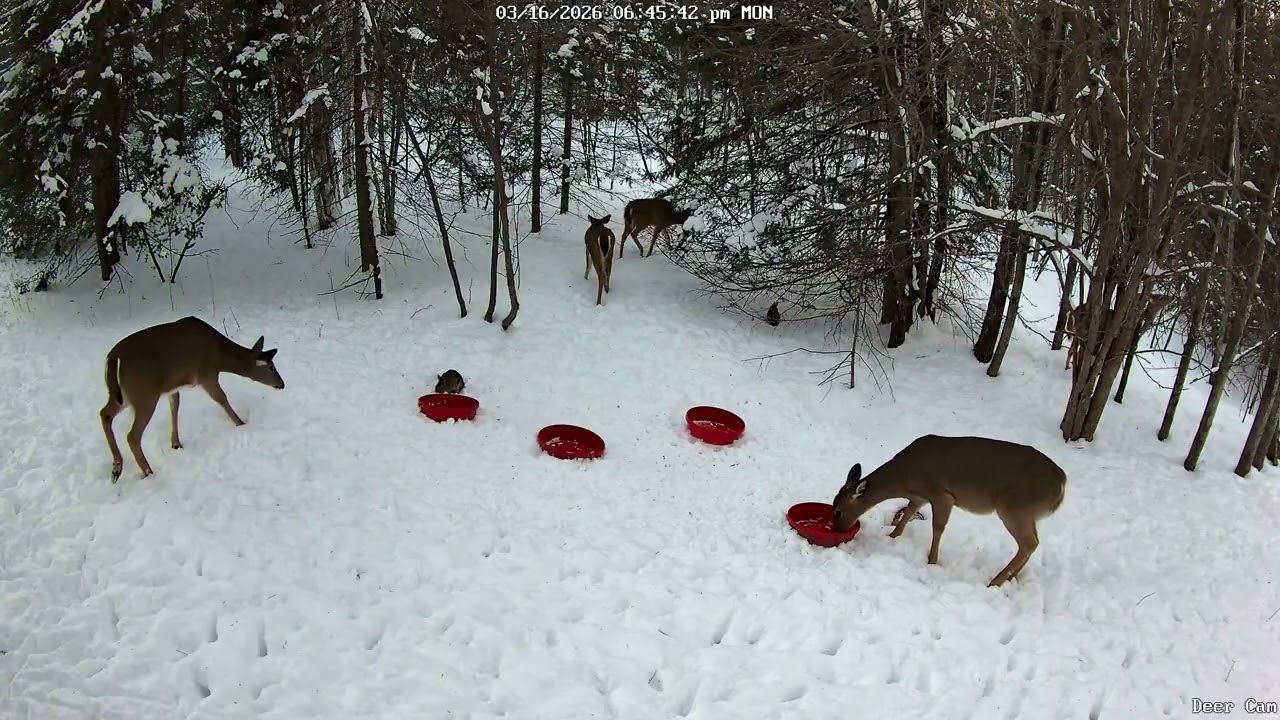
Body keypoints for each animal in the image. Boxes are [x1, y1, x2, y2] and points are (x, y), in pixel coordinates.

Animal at [99, 316, 286, 481]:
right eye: (271, 367)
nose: (282, 384)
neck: (219, 355)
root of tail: (113, 356)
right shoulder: (207, 374)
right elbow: (222, 398)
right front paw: (241, 424)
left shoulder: (173, 387)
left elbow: (175, 406)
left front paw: (176, 444)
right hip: (145, 394)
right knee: (132, 436)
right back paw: (148, 472)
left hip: (123, 396)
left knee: (104, 413)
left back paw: (117, 467)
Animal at [830, 435, 1067, 588]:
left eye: (838, 511)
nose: (837, 529)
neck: (905, 477)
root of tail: (1062, 482)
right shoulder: (919, 497)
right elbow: (907, 514)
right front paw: (892, 536)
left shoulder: (942, 495)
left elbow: (938, 528)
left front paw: (932, 561)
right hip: (1024, 512)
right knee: (1032, 543)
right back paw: (1010, 578)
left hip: (1014, 506)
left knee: (1028, 543)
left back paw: (995, 582)